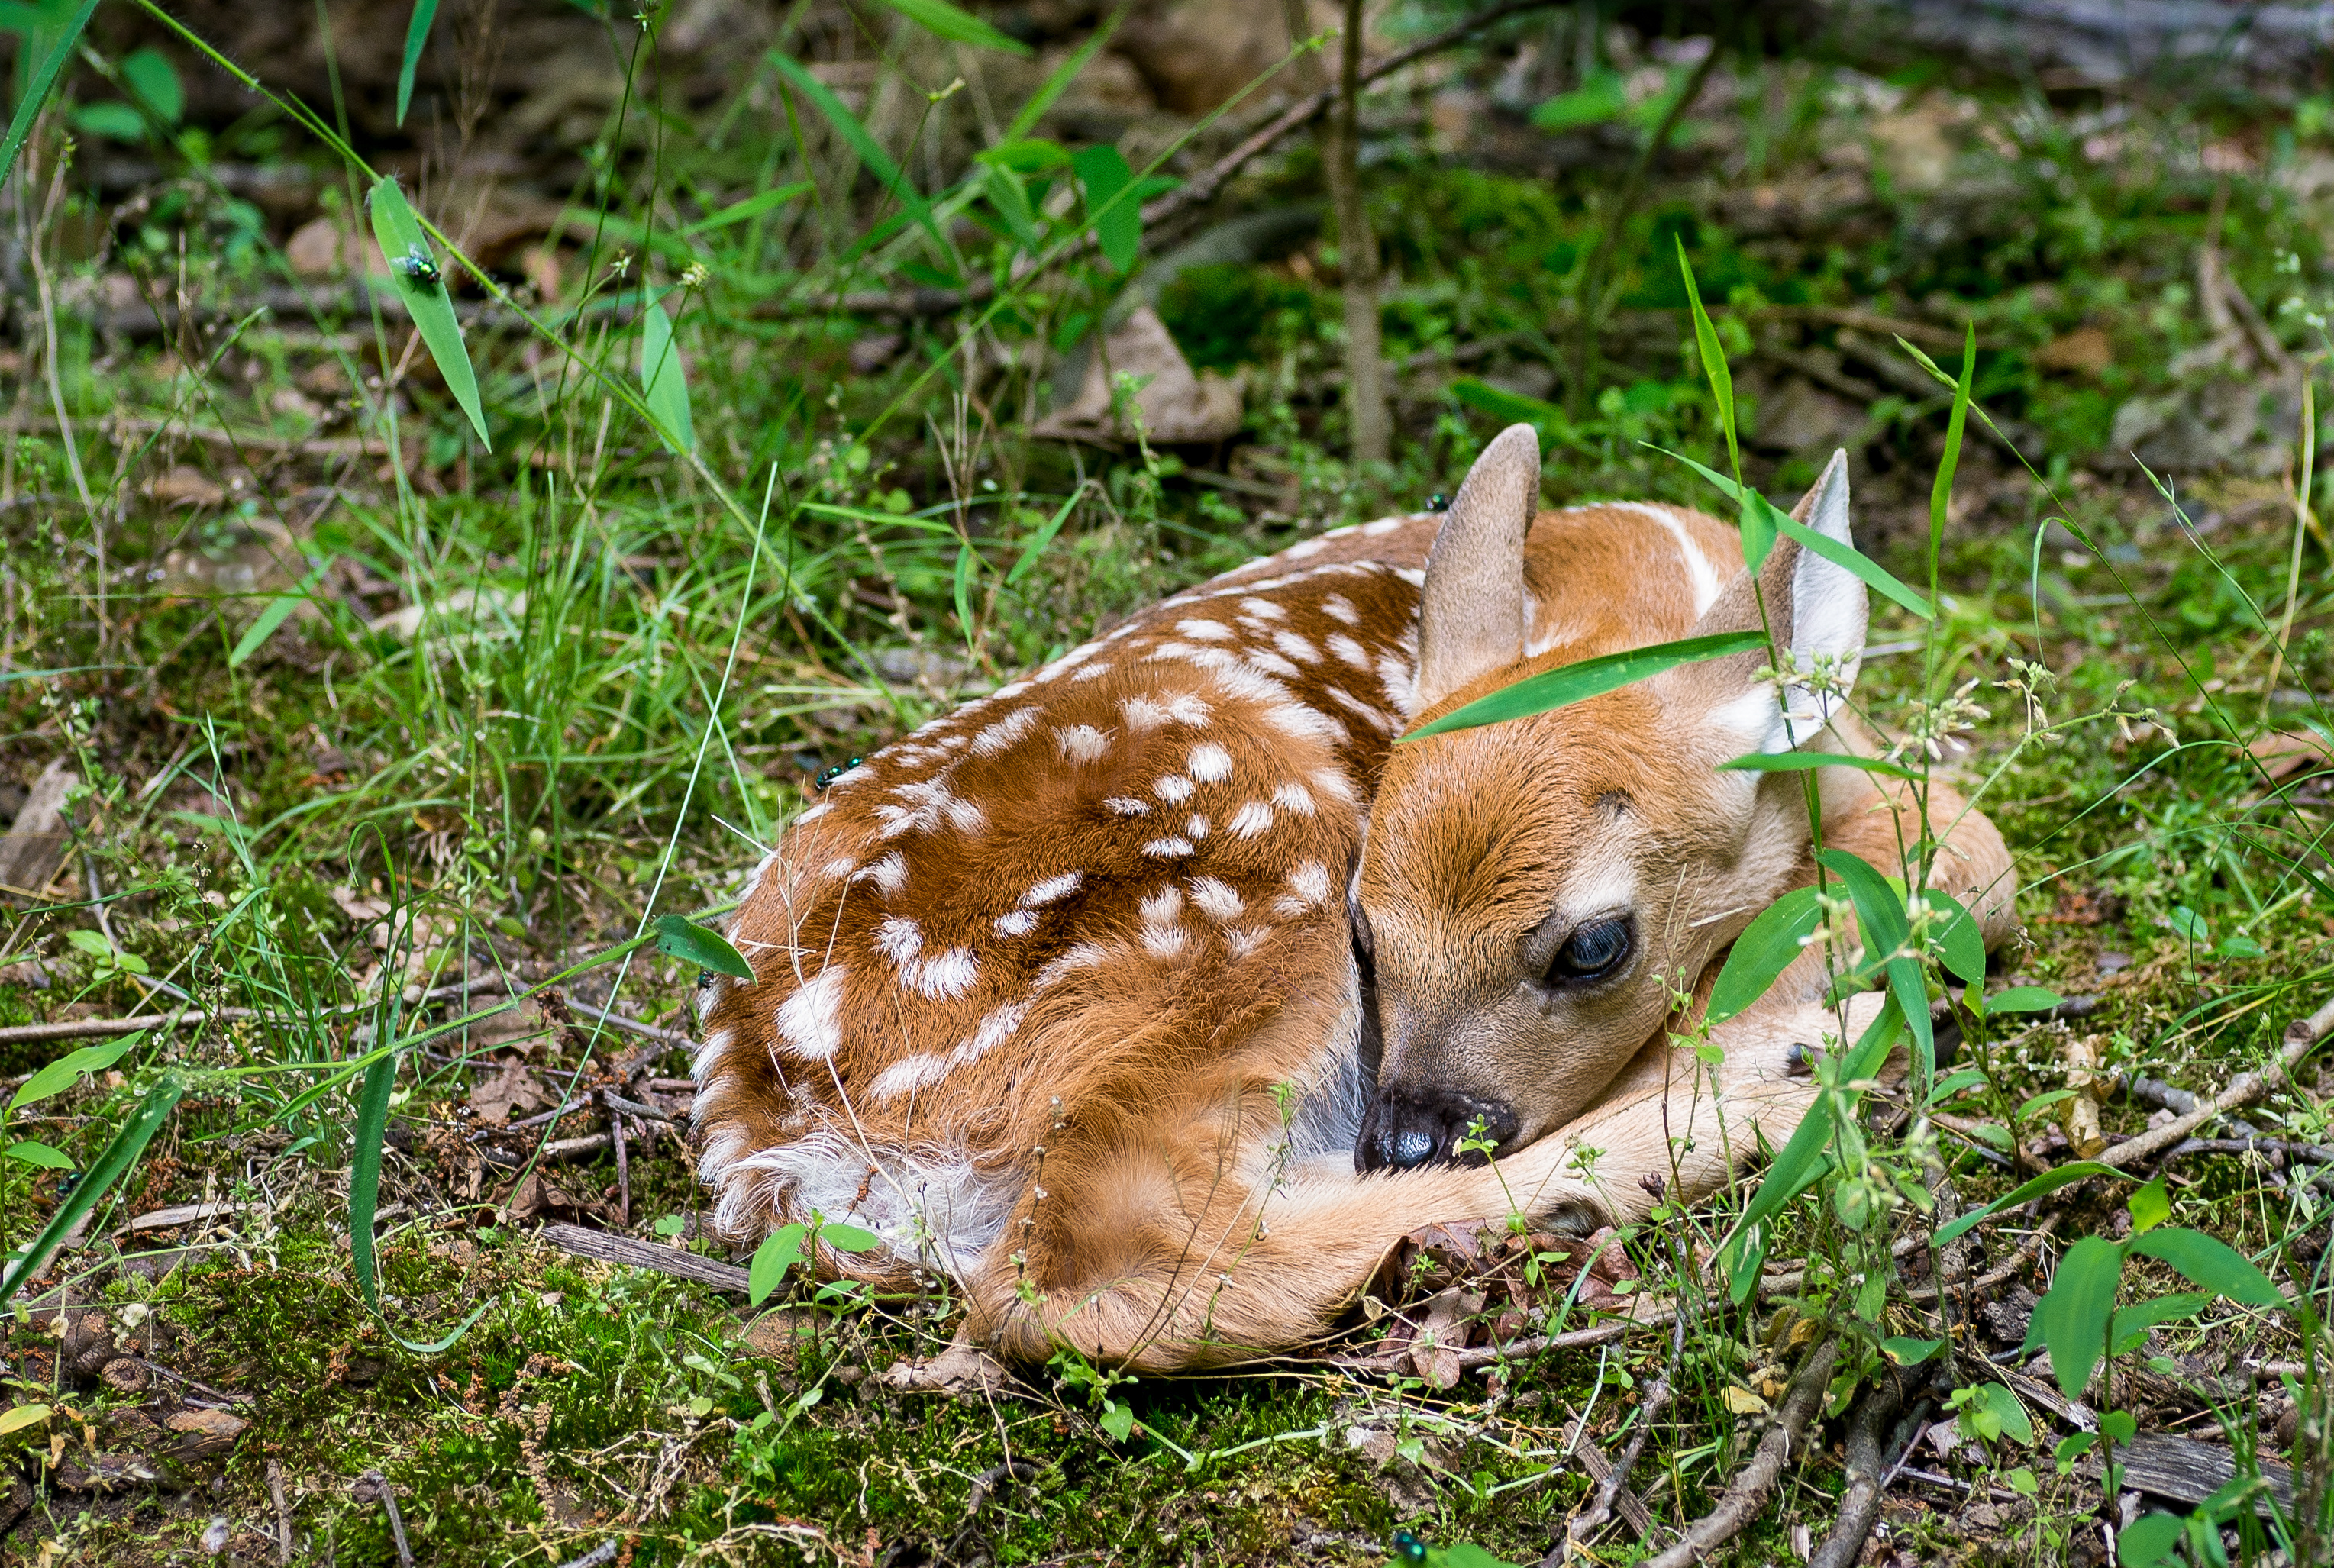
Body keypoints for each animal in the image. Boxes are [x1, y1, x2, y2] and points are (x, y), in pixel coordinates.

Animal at [690, 424, 2017, 1371]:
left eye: (1595, 945)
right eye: (1370, 929)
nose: (1409, 1132)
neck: (1636, 603)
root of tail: (770, 1136)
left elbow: (1963, 859)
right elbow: (1973, 863)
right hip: (1248, 881)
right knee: (1090, 1267)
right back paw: (1749, 1095)